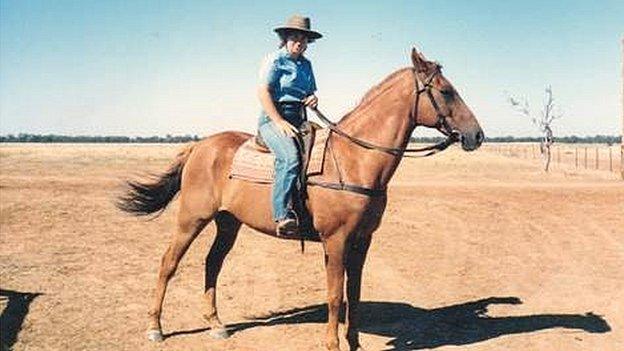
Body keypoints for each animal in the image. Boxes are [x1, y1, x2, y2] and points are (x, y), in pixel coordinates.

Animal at [118, 49, 488, 351]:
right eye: (446, 91)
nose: (477, 135)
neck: (354, 159)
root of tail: (198, 146)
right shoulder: (336, 240)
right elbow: (335, 295)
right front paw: (333, 344)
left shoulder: (362, 240)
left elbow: (354, 293)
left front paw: (354, 343)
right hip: (191, 218)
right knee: (168, 263)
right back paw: (155, 328)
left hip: (228, 222)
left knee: (213, 263)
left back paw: (217, 325)